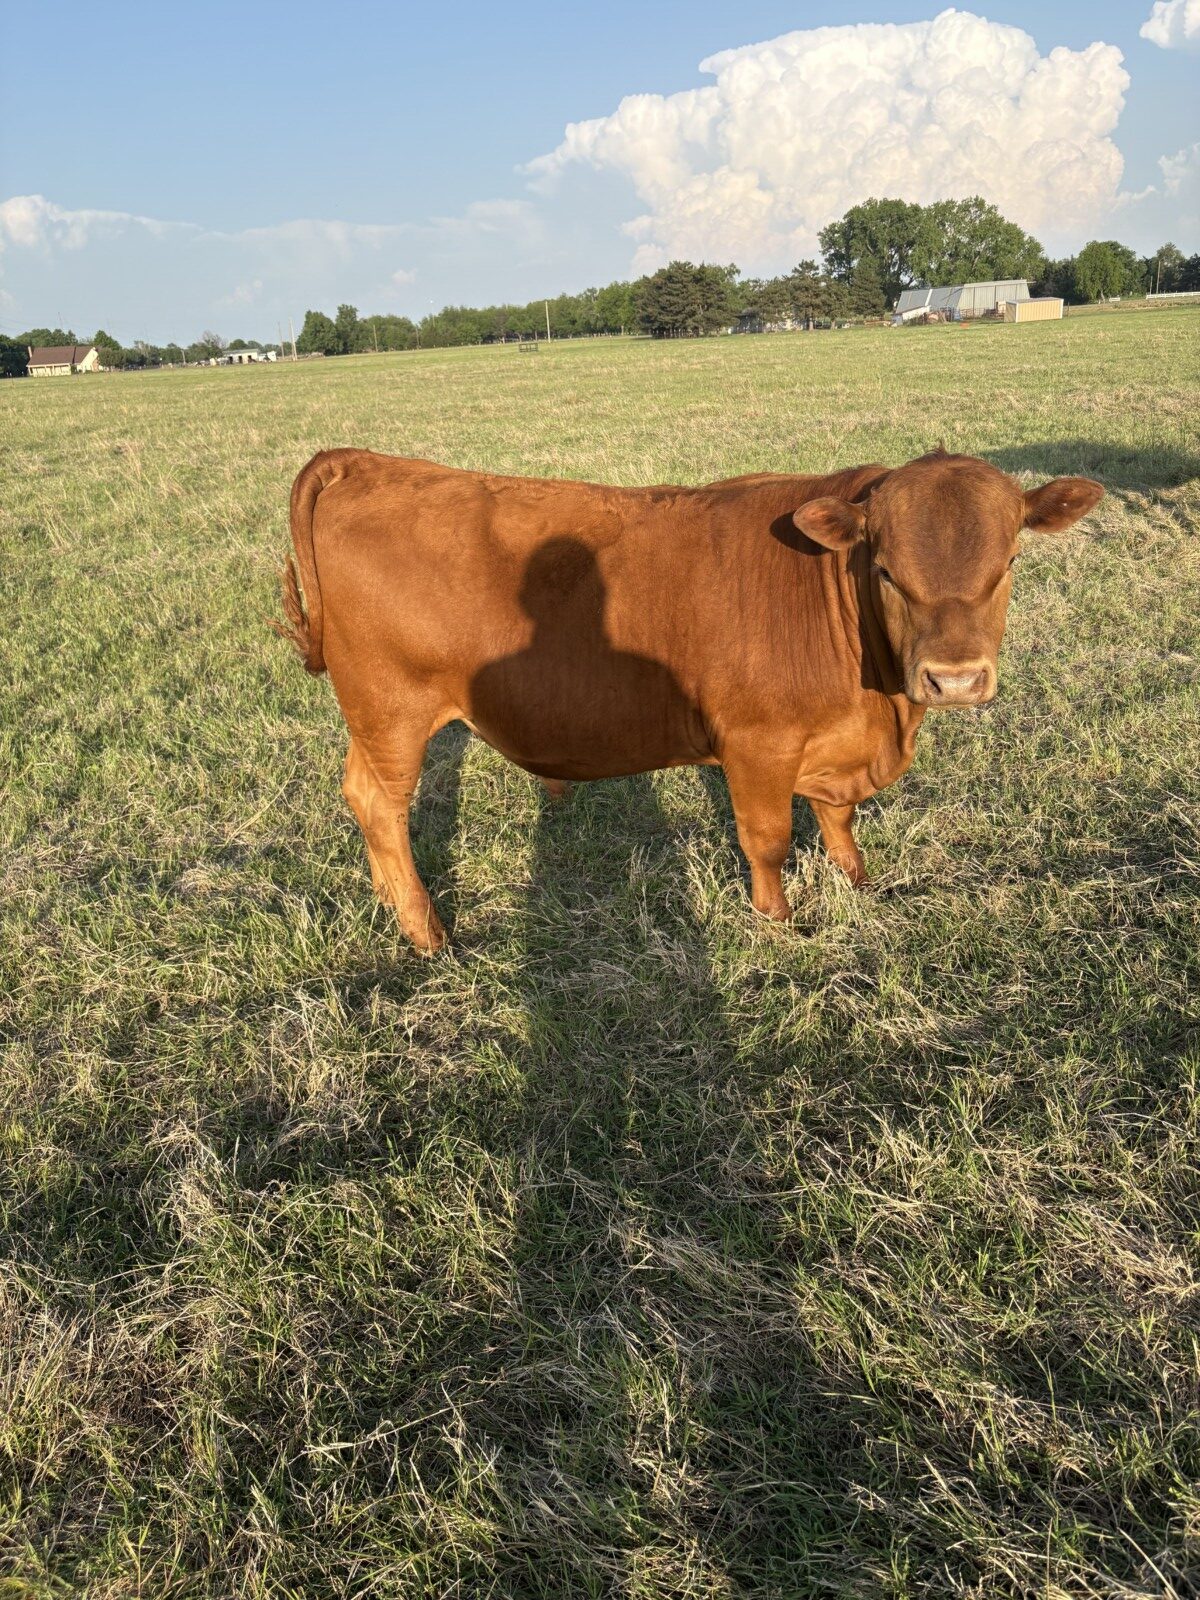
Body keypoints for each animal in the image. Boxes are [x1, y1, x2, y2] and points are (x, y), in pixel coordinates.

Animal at [277, 447, 1103, 952]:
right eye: (889, 571)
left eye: (1009, 563)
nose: (955, 679)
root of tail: (369, 463)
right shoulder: (758, 743)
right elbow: (768, 839)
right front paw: (779, 922)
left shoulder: (837, 745)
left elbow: (838, 819)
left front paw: (860, 882)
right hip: (392, 712)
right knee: (380, 805)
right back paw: (426, 932)